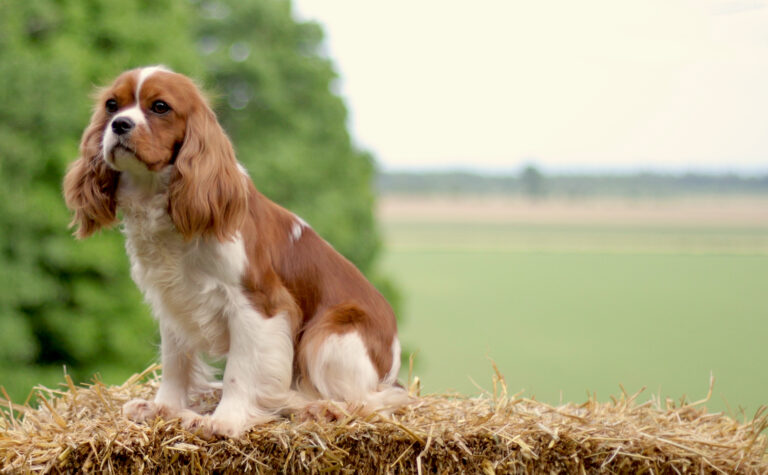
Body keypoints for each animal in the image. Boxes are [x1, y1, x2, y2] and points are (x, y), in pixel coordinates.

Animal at [63, 66, 412, 438]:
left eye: (160, 107)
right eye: (112, 105)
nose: (119, 125)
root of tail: (393, 357)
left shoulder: (255, 304)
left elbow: (239, 371)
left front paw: (223, 421)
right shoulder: (173, 301)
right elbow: (175, 362)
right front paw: (163, 408)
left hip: (329, 335)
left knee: (370, 400)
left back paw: (316, 408)